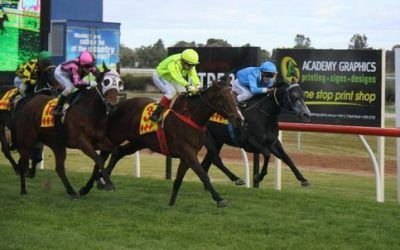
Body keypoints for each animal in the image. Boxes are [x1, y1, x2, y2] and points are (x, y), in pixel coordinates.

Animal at [15, 65, 122, 198]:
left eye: (120, 83)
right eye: (106, 82)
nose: (112, 105)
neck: (91, 111)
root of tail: (32, 101)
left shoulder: (99, 140)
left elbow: (114, 152)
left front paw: (89, 186)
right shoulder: (82, 142)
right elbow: (98, 159)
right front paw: (108, 183)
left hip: (57, 144)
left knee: (59, 168)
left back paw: (72, 192)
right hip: (27, 140)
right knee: (22, 162)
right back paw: (23, 190)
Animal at [81, 79, 244, 207]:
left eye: (235, 95)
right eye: (222, 97)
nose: (239, 119)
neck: (191, 117)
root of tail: (118, 105)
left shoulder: (187, 155)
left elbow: (178, 180)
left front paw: (171, 204)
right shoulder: (188, 153)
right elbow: (203, 174)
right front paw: (219, 199)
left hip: (138, 142)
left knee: (117, 153)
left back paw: (102, 180)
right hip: (115, 136)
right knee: (102, 157)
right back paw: (88, 186)